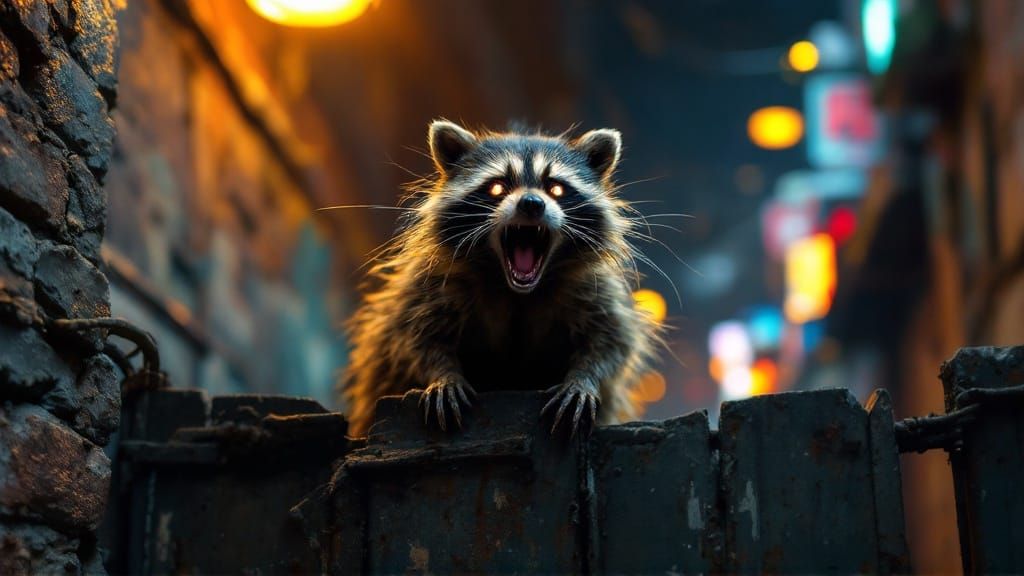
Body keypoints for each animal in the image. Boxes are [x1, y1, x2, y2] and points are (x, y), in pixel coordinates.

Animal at [341, 120, 661, 437]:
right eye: (497, 186)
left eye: (556, 188)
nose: (531, 204)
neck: (516, 290)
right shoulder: (434, 281)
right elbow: (414, 337)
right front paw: (443, 374)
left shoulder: (592, 287)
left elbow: (611, 340)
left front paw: (583, 378)